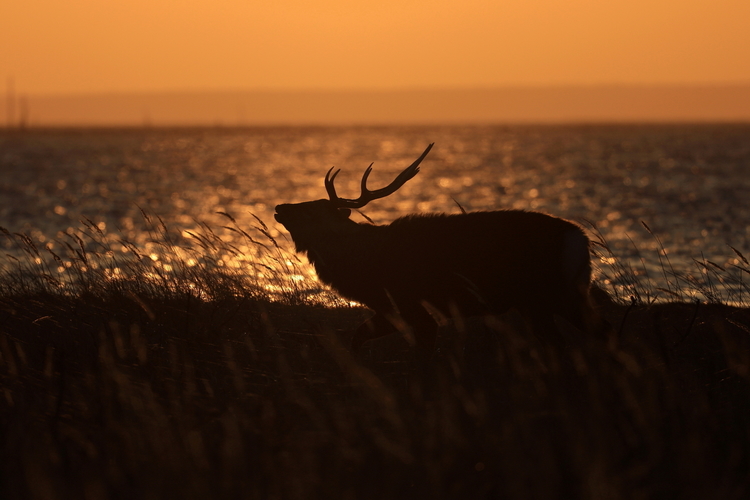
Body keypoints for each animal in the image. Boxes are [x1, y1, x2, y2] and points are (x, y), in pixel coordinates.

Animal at [274, 143, 604, 354]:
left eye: (311, 211)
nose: (279, 207)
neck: (361, 264)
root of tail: (581, 240)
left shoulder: (410, 303)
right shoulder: (389, 308)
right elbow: (358, 337)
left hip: (558, 293)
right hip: (536, 303)